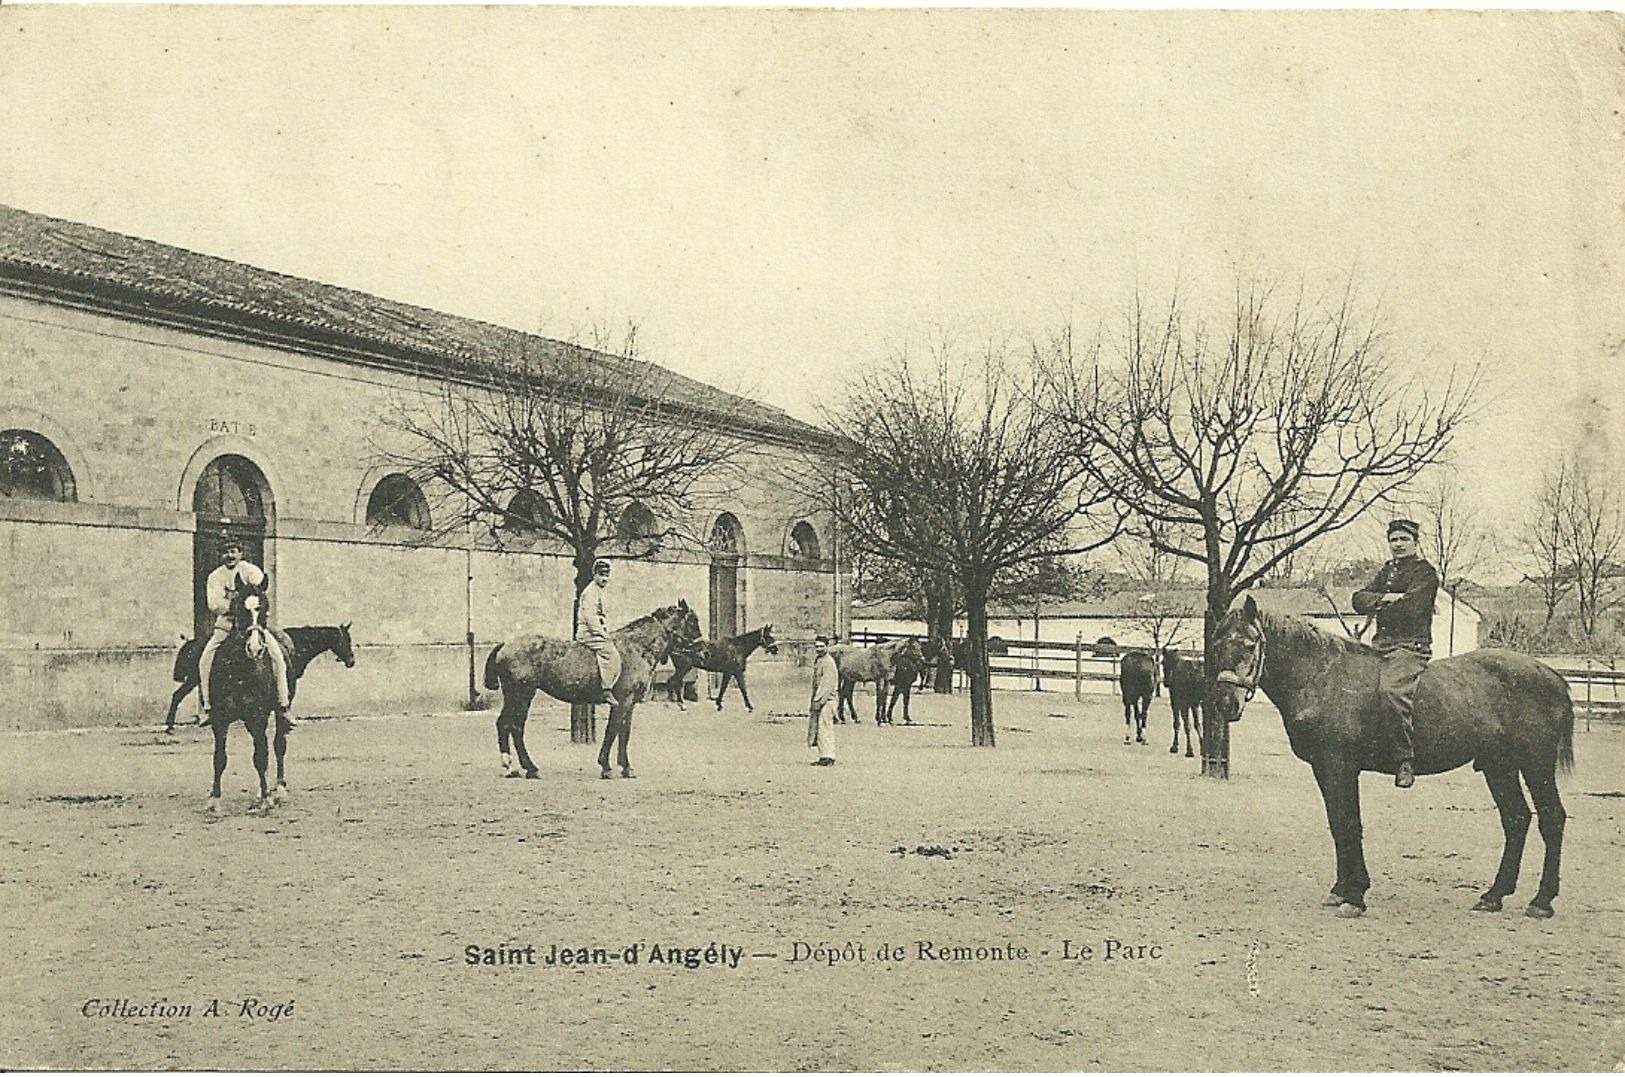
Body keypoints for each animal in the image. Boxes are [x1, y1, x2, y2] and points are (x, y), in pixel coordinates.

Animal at [164, 623, 355, 734]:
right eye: (346, 640)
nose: (352, 661)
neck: (297, 643)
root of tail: (193, 642)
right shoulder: (287, 681)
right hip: (194, 678)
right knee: (177, 695)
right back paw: (170, 725)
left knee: (177, 695)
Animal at [204, 578, 290, 812]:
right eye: (239, 610)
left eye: (265, 610)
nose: (255, 648)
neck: (240, 669)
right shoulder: (220, 719)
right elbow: (219, 758)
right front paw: (214, 799)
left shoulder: (258, 716)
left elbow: (261, 756)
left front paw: (267, 799)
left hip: (278, 712)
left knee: (278, 745)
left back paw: (279, 789)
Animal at [477, 597, 702, 782]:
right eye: (693, 621)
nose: (701, 650)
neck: (636, 648)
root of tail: (506, 645)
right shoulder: (623, 702)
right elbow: (615, 731)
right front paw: (611, 767)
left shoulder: (628, 704)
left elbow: (621, 732)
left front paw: (620, 767)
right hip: (522, 695)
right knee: (514, 727)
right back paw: (529, 768)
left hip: (515, 696)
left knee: (504, 724)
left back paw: (511, 767)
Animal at [1209, 597, 1573, 916]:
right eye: (1216, 645)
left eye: (1249, 645)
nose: (1226, 703)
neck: (1322, 676)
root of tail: (1552, 675)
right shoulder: (1324, 770)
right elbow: (1337, 825)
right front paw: (1341, 890)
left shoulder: (1340, 766)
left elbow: (1349, 824)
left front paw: (1355, 896)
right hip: (1499, 766)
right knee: (1516, 819)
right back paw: (1494, 895)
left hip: (1535, 764)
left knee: (1551, 818)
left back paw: (1542, 900)